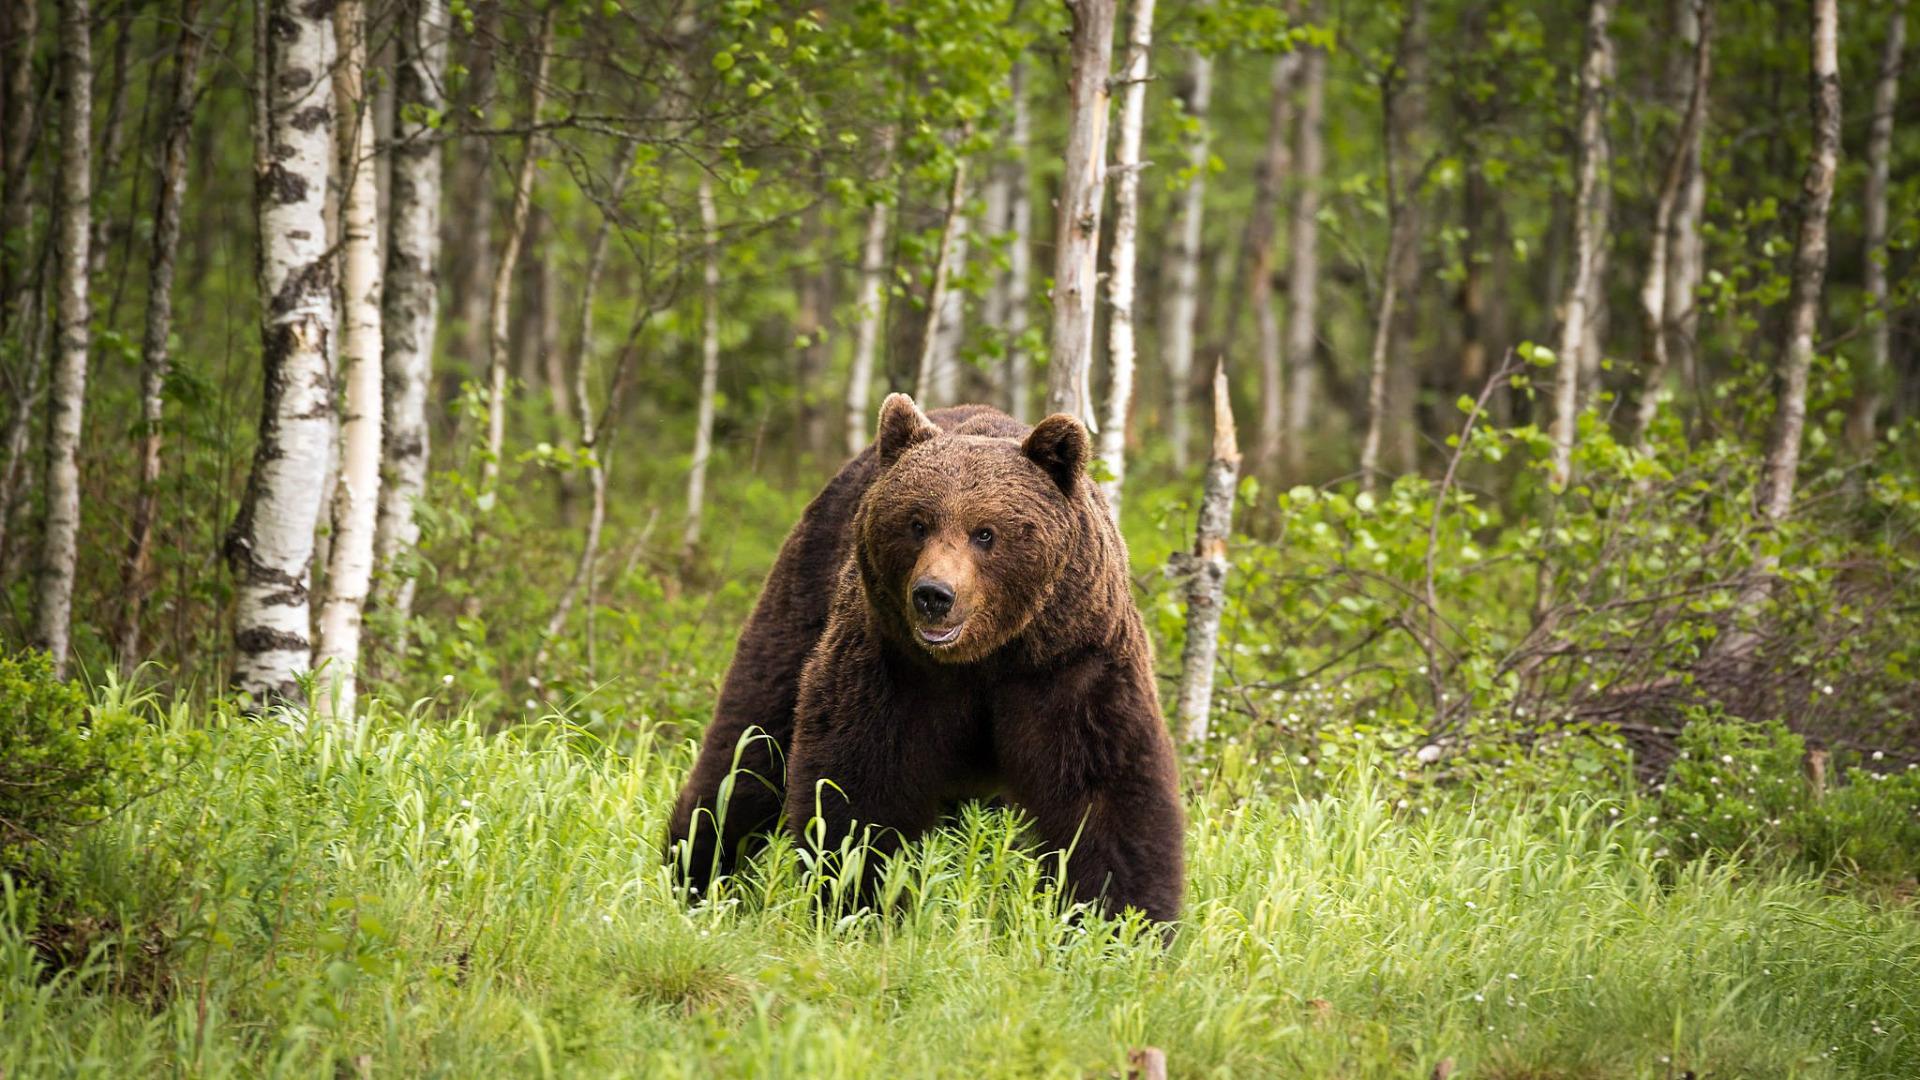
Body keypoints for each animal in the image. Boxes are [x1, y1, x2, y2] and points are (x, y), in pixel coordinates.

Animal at [675, 393, 1182, 914]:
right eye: (917, 523)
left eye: (985, 532)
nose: (934, 595)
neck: (986, 656)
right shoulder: (892, 665)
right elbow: (860, 783)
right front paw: (860, 895)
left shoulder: (1070, 662)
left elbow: (1106, 791)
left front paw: (1120, 913)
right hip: (803, 596)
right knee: (747, 746)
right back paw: (694, 869)